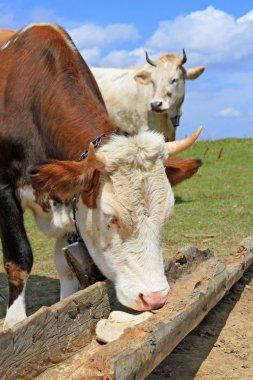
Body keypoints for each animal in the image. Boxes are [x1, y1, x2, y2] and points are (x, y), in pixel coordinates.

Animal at [0, 23, 202, 330]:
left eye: (167, 215)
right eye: (110, 217)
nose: (154, 298)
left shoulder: (69, 199)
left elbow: (65, 264)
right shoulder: (4, 189)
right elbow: (19, 258)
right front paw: (14, 322)